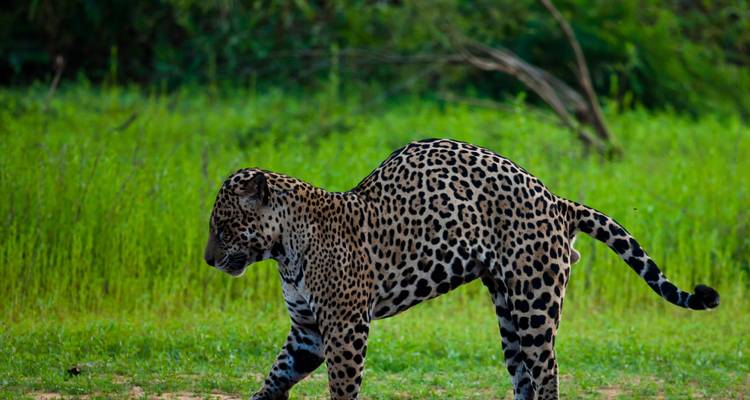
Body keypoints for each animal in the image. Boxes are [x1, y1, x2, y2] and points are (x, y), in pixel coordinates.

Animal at [203, 138, 719, 400]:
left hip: (535, 303)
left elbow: (342, 389)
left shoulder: (346, 327)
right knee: (524, 376)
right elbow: (274, 377)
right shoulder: (308, 330)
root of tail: (557, 199)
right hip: (508, 310)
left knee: (548, 372)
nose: (207, 259)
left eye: (222, 226)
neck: (283, 249)